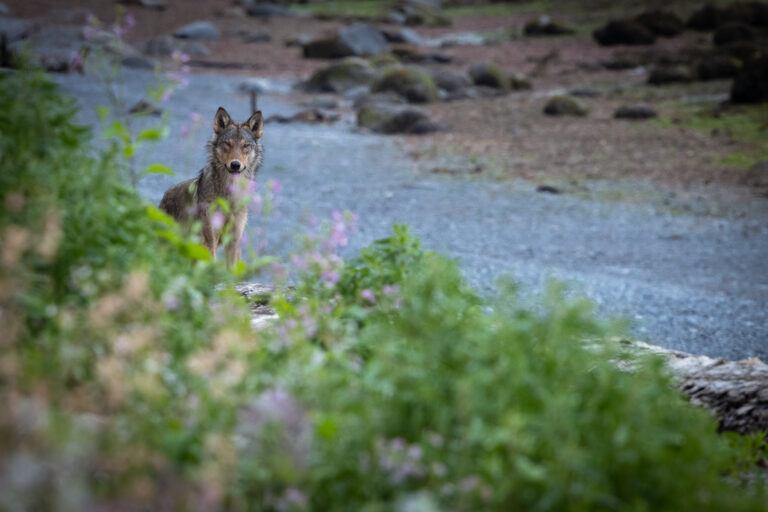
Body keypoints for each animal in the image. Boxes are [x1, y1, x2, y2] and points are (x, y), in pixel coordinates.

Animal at [159, 107, 264, 268]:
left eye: (245, 146)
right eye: (227, 144)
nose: (235, 164)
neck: (229, 197)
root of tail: (164, 197)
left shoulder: (234, 240)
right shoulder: (209, 238)